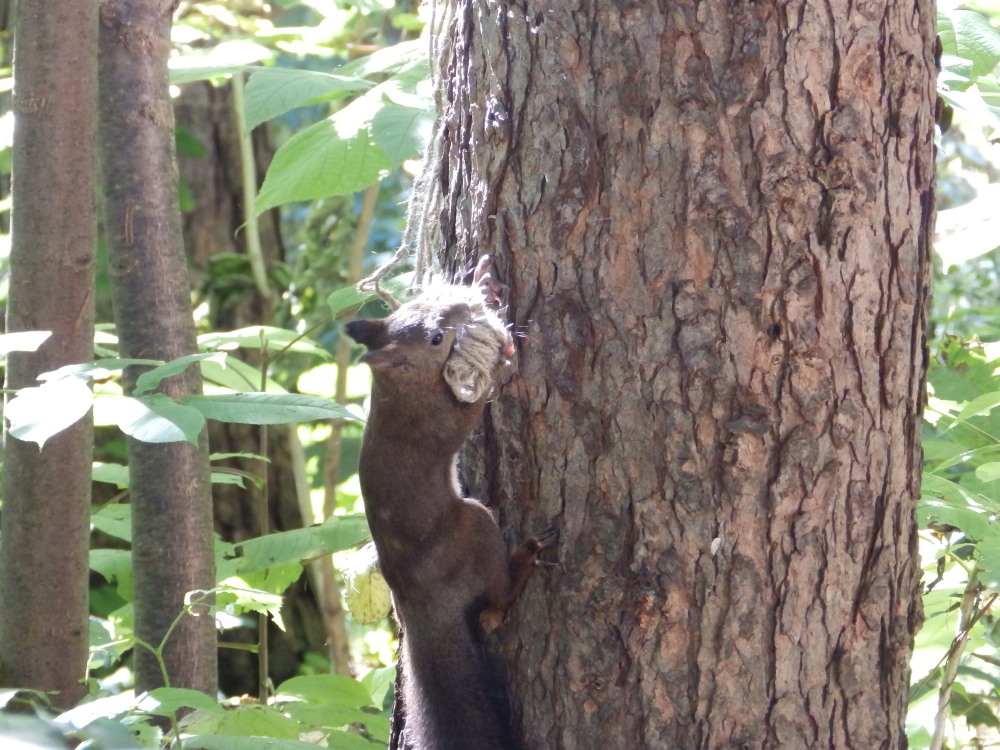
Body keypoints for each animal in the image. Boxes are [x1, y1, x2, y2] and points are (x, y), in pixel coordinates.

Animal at [348, 270, 560, 750]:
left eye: (423, 302)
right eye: (436, 338)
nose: (460, 306)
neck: (400, 388)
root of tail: (423, 608)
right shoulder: (438, 419)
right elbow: (471, 410)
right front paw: (504, 356)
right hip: (474, 527)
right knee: (493, 609)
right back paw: (525, 557)